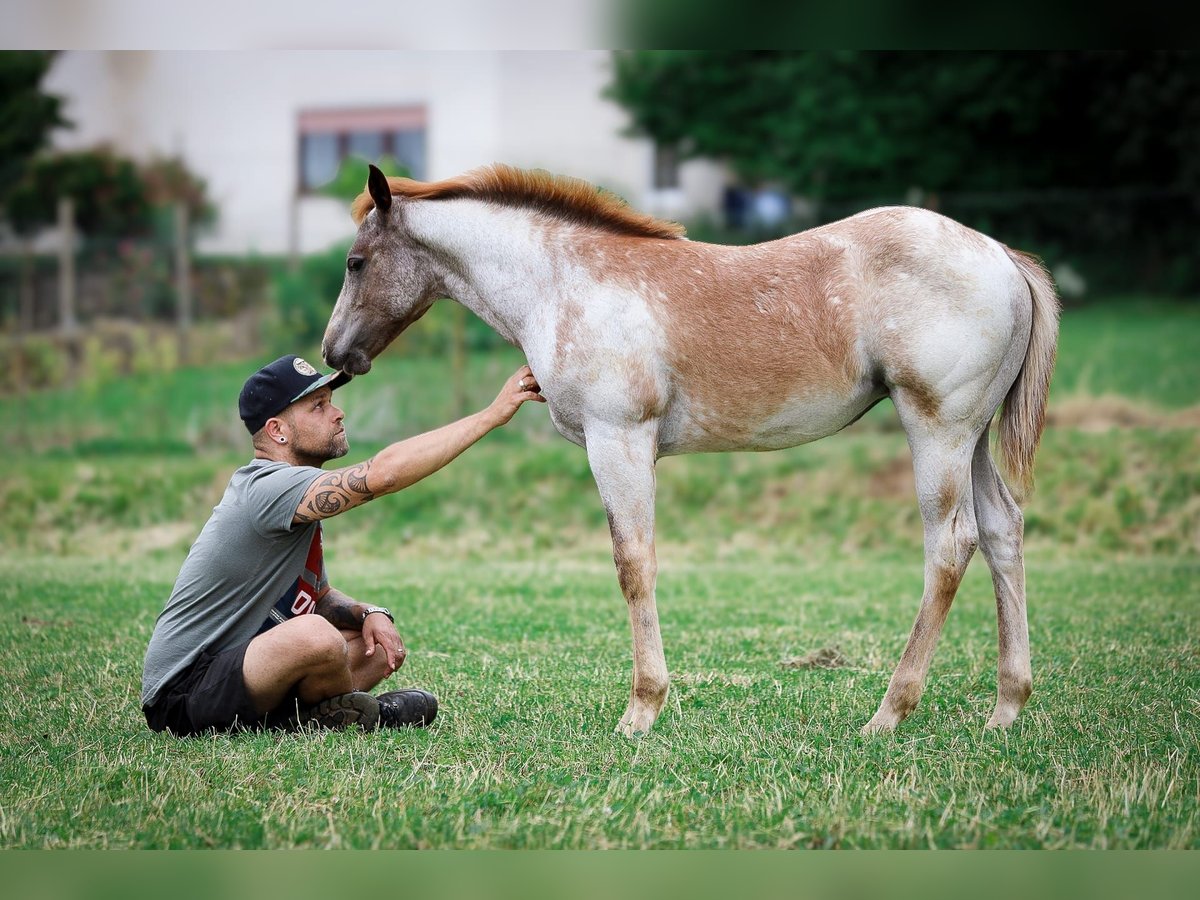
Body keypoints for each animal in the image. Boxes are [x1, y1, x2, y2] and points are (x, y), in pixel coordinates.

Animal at [321, 162, 1060, 739]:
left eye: (357, 262)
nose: (334, 355)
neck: (566, 282)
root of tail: (1002, 255)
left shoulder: (619, 440)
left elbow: (633, 564)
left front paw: (642, 710)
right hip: (970, 439)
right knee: (1003, 531)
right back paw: (1005, 708)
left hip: (936, 429)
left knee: (951, 545)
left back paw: (889, 713)